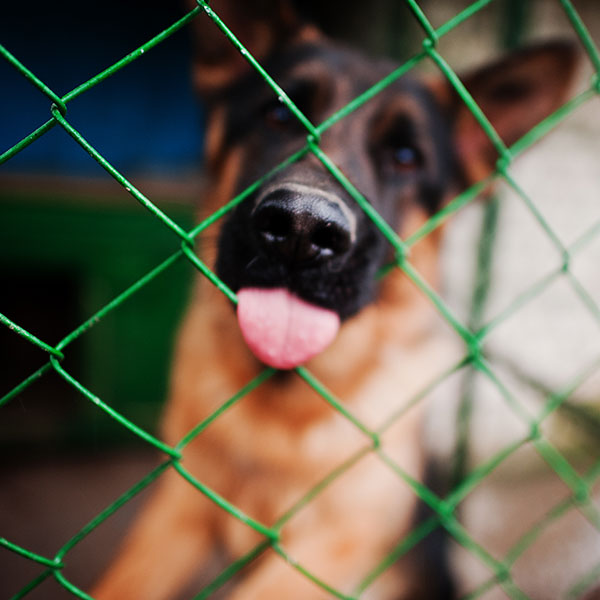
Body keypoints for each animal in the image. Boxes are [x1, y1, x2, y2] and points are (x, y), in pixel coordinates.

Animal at [91, 2, 580, 596]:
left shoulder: (335, 542)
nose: (302, 228)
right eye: (278, 116)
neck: (278, 416)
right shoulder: (177, 511)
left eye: (405, 156)